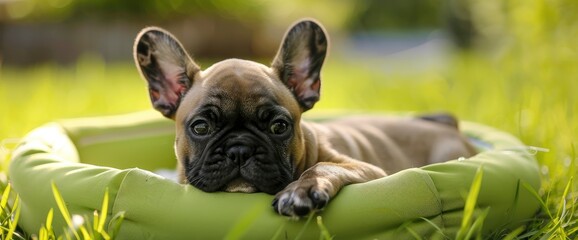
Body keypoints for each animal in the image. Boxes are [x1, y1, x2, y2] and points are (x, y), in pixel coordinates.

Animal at [133, 18, 474, 218]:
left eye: (279, 126)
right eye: (201, 127)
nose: (240, 149)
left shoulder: (366, 169)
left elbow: (322, 166)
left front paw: (302, 191)